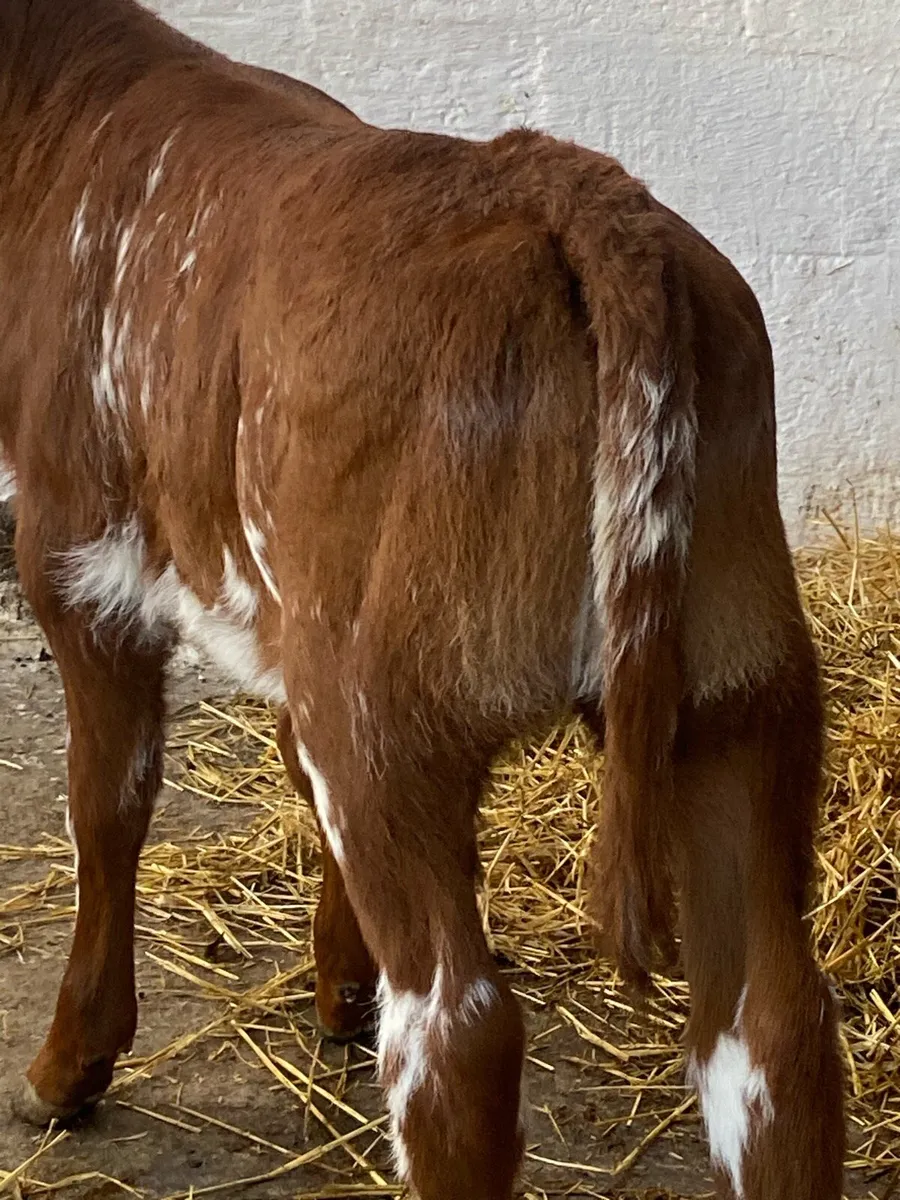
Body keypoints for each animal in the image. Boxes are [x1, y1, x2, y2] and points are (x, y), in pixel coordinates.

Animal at [0, 2, 844, 1197]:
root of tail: (564, 188)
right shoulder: (279, 609)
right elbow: (276, 769)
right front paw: (338, 985)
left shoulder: (80, 553)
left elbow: (106, 806)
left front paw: (70, 1063)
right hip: (738, 679)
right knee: (769, 1031)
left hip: (390, 712)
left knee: (456, 1038)